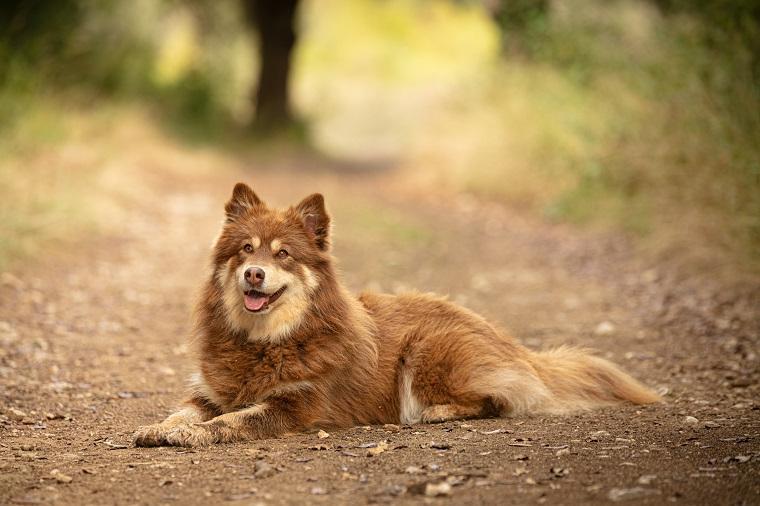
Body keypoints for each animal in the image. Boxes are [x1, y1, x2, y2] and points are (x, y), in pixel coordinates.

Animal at [132, 183, 660, 446]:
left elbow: (229, 421)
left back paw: (433, 414)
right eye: (245, 249)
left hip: (426, 350)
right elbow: (184, 410)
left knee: (500, 399)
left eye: (283, 254)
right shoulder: (209, 390)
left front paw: (191, 435)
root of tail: (516, 346)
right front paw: (161, 427)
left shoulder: (295, 405)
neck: (265, 340)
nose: (254, 274)